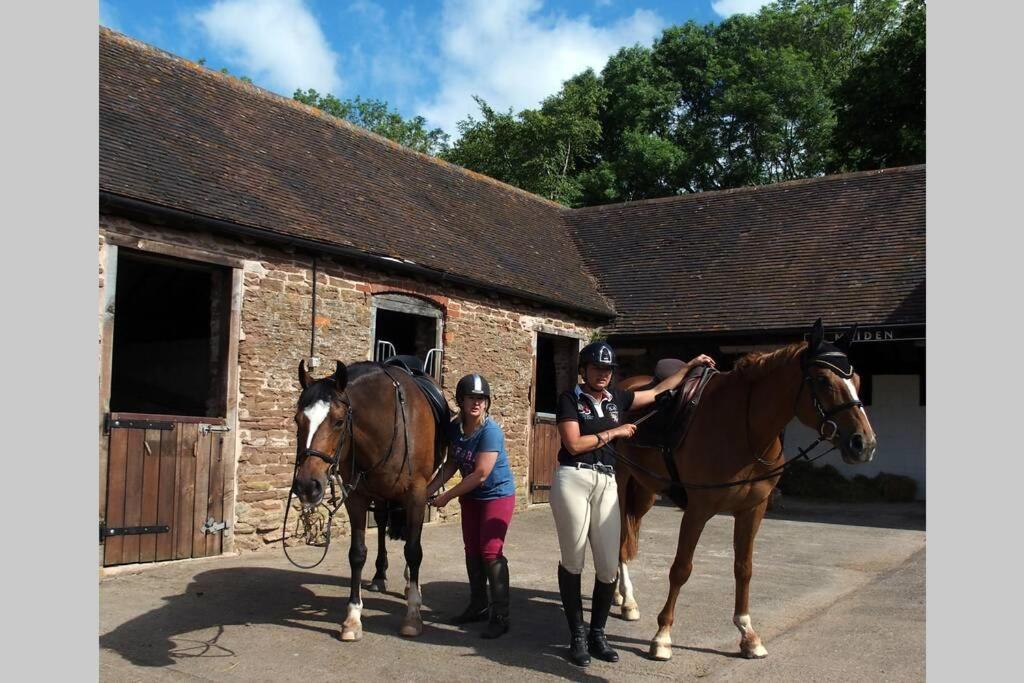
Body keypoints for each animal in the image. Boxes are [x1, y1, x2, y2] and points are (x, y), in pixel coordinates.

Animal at [290, 360, 446, 643]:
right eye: (297, 420)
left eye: (339, 421)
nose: (307, 485)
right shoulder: (356, 498)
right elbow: (357, 554)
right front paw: (352, 618)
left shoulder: (416, 496)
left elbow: (413, 550)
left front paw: (413, 615)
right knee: (382, 524)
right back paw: (379, 575)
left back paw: (409, 583)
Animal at [610, 321, 876, 663]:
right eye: (823, 381)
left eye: (857, 381)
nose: (864, 444)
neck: (743, 428)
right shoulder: (697, 510)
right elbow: (681, 568)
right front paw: (663, 636)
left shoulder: (753, 509)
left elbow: (744, 569)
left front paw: (748, 635)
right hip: (621, 484)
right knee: (619, 541)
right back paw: (627, 600)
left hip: (644, 492)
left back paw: (621, 597)